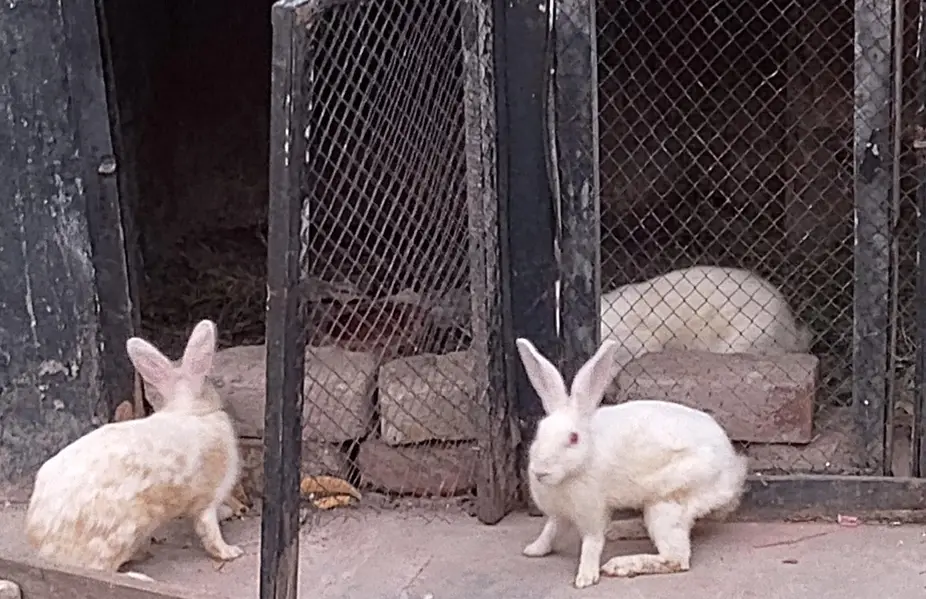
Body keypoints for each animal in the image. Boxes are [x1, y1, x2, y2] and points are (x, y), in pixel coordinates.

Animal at [25, 319, 244, 577]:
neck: (189, 408)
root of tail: (44, 549)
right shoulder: (208, 498)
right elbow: (209, 530)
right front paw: (230, 552)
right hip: (119, 535)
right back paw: (139, 576)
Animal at [515, 337, 748, 589]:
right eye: (539, 430)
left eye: (573, 438)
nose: (540, 471)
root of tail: (733, 470)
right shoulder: (558, 513)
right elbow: (551, 529)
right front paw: (534, 550)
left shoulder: (592, 511)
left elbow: (592, 542)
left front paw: (586, 577)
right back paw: (618, 530)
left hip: (667, 503)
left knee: (676, 558)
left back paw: (619, 565)